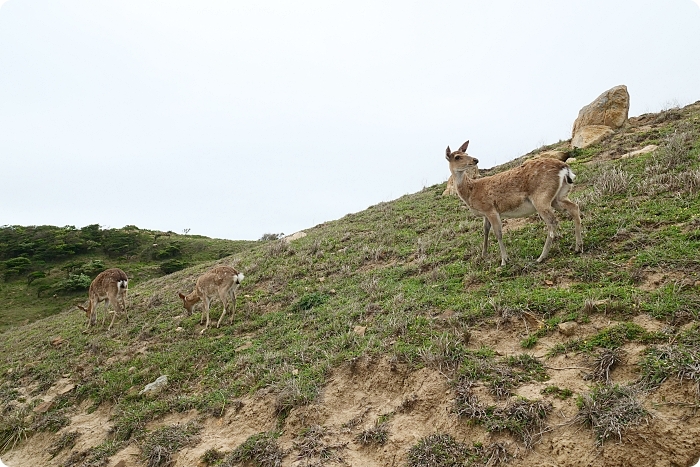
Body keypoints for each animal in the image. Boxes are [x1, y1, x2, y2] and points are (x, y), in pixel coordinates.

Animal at [446, 140, 584, 266]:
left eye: (466, 153)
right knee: (574, 207)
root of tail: (565, 169)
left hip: (541, 197)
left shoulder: (490, 209)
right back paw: (578, 247)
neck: (471, 192)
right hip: (558, 196)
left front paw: (504, 260)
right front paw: (483, 255)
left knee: (552, 222)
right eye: (458, 156)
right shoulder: (485, 213)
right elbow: (485, 231)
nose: (475, 160)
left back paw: (541, 257)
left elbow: (498, 233)